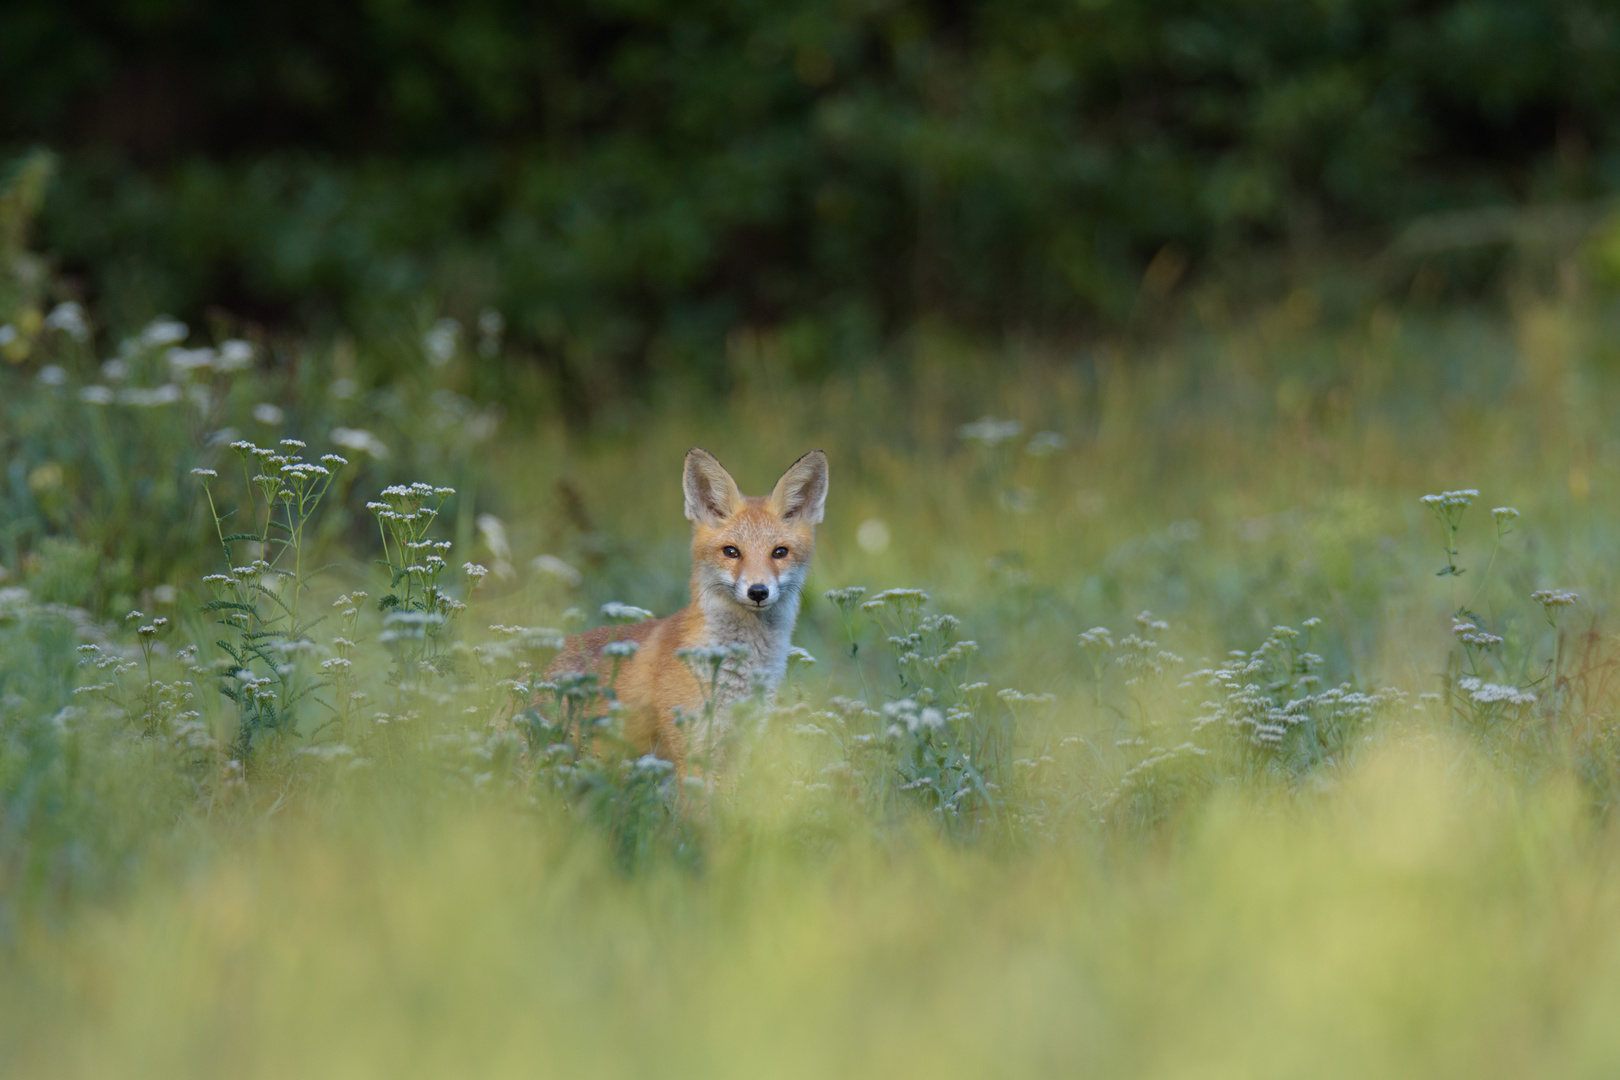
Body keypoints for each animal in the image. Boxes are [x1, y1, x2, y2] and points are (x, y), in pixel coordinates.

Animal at [544, 450, 829, 777]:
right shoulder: (693, 753)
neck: (739, 673)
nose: (758, 591)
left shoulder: (739, 749)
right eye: (731, 552)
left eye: (779, 552)